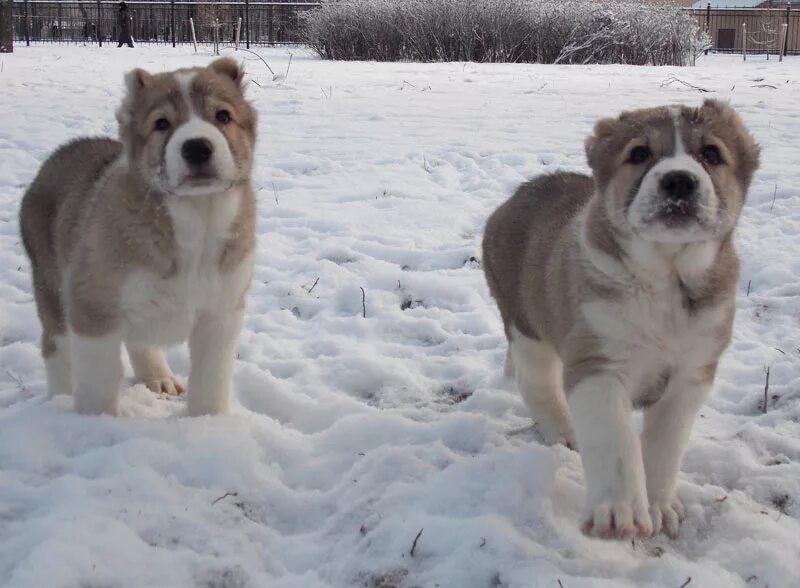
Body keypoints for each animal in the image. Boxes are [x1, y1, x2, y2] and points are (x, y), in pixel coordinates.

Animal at [19, 57, 256, 418]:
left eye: (223, 116)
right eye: (161, 123)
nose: (197, 147)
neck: (196, 219)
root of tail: (62, 150)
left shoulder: (221, 314)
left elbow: (210, 382)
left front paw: (208, 423)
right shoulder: (92, 308)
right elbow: (98, 383)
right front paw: (97, 423)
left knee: (139, 338)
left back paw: (158, 378)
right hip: (50, 285)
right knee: (56, 348)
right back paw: (58, 401)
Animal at [484, 100, 760, 536]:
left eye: (712, 154)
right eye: (639, 153)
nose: (679, 181)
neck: (665, 280)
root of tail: (517, 195)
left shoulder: (691, 376)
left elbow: (664, 445)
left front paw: (659, 506)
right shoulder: (597, 365)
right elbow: (616, 440)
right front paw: (618, 511)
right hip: (526, 325)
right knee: (537, 382)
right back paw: (562, 432)